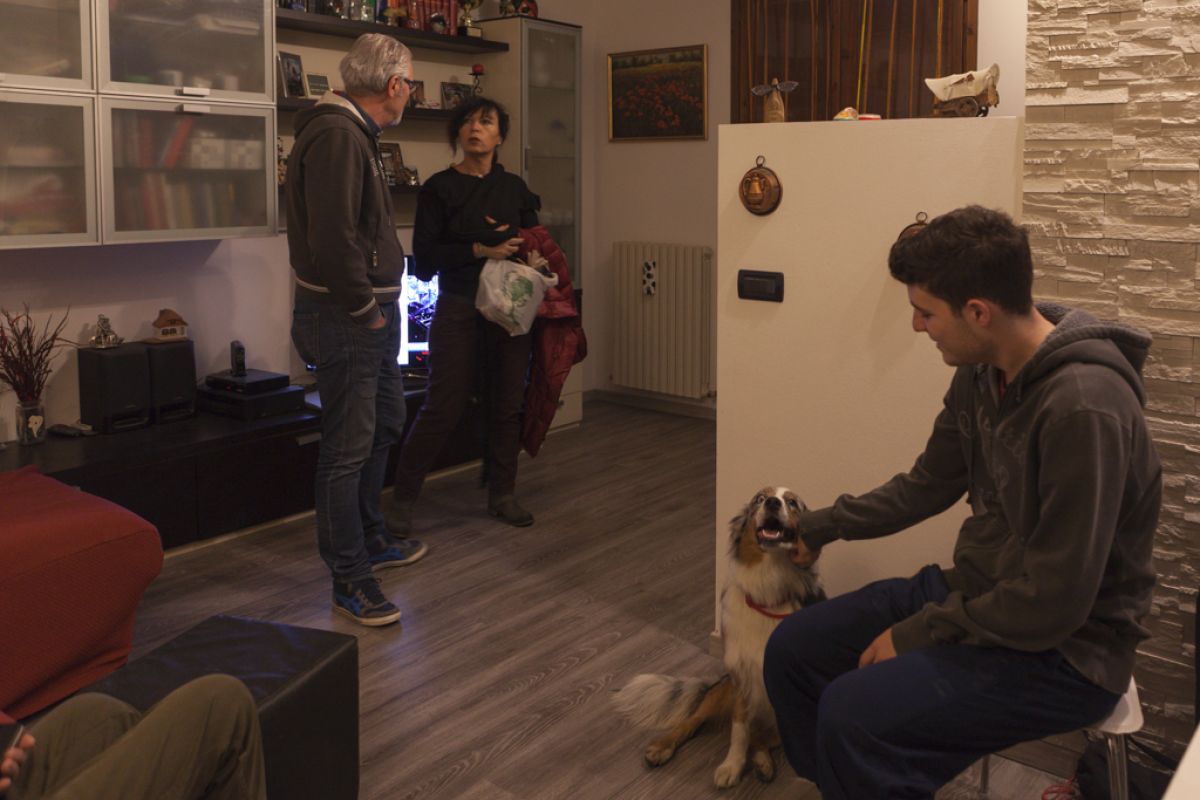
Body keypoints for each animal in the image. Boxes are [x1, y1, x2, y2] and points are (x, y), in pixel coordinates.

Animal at [612, 486, 825, 788]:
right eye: (760, 499)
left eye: (792, 502)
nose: (773, 503)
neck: (768, 583)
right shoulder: (741, 675)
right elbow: (739, 730)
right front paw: (731, 766)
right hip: (723, 690)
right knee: (693, 721)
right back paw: (661, 747)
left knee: (762, 738)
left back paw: (763, 763)